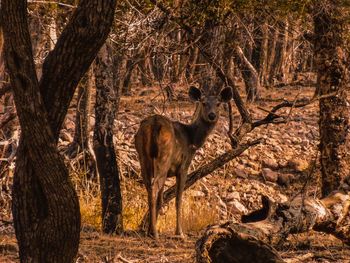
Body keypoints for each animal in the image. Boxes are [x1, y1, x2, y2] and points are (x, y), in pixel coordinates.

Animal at [135, 84, 232, 239]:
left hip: (143, 157)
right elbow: (178, 199)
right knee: (154, 187)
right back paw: (155, 233)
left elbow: (161, 199)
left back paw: (151, 230)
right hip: (164, 157)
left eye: (218, 103)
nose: (212, 115)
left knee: (149, 188)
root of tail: (154, 124)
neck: (192, 140)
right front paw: (179, 232)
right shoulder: (183, 167)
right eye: (203, 103)